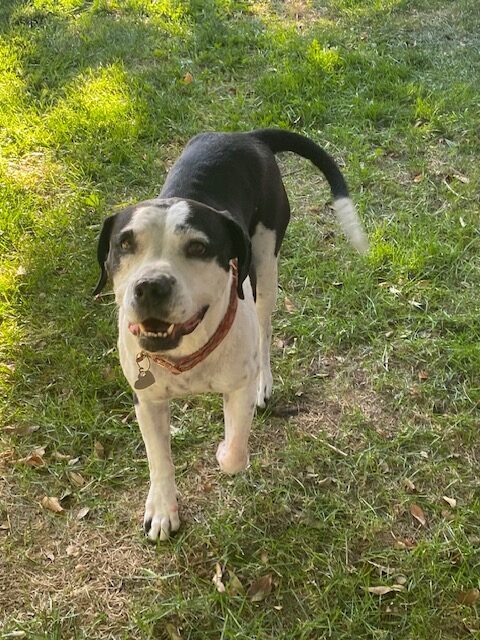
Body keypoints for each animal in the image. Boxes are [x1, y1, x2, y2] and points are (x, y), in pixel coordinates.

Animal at [95, 129, 370, 540]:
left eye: (198, 247)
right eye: (124, 244)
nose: (150, 286)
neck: (186, 352)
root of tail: (247, 135)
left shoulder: (237, 387)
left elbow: (235, 453)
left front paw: (224, 451)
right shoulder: (148, 400)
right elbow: (159, 460)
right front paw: (161, 509)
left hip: (266, 266)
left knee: (266, 330)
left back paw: (264, 382)